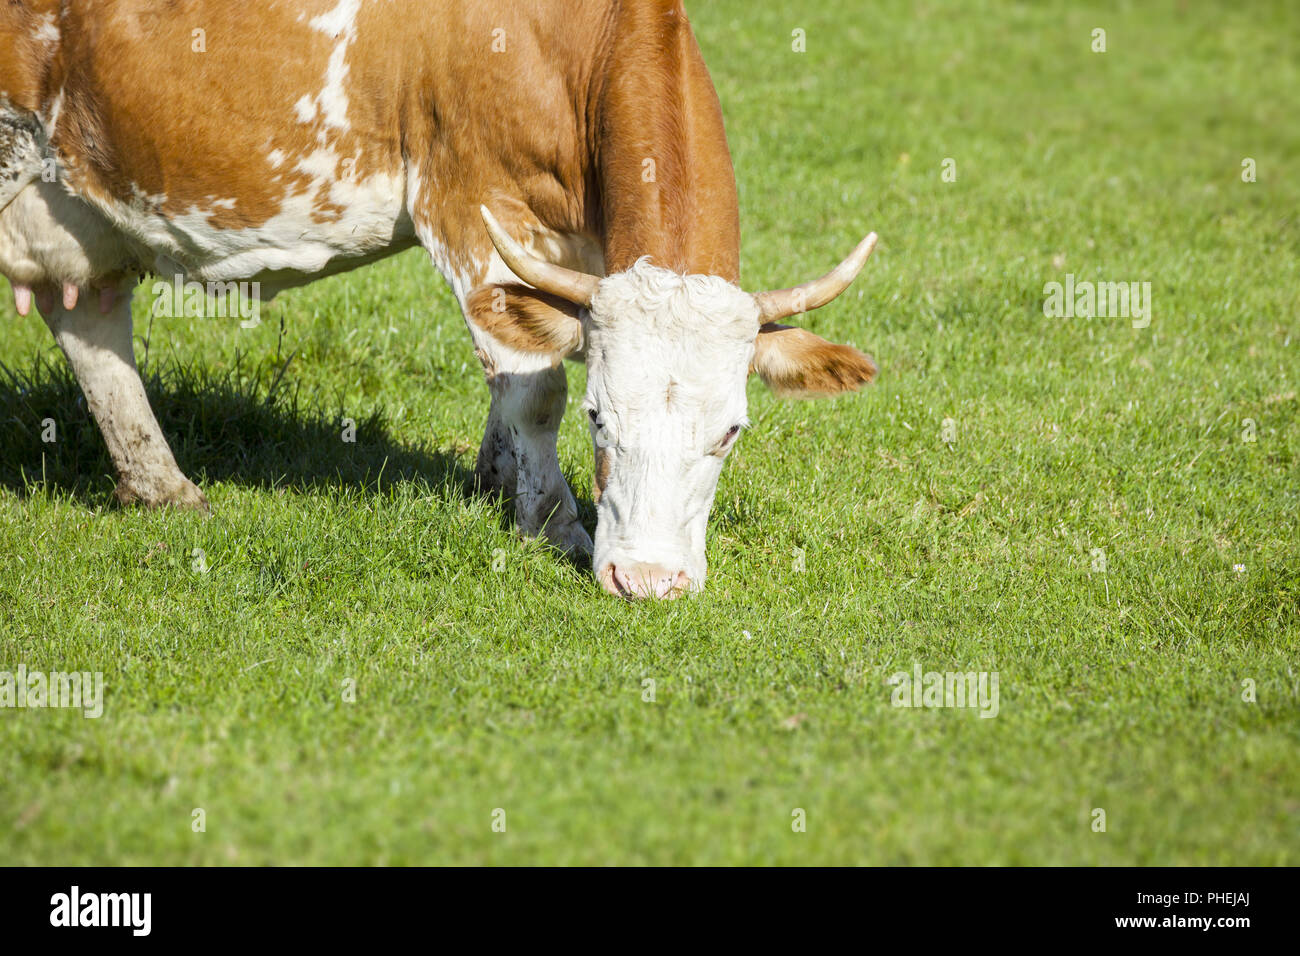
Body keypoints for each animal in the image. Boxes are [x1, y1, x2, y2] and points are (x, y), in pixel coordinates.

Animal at [0, 0, 879, 599]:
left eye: (731, 430)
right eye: (600, 418)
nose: (648, 581)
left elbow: (526, 361)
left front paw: (495, 480)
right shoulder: (467, 201)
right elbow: (533, 386)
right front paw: (553, 522)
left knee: (88, 318)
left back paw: (163, 488)